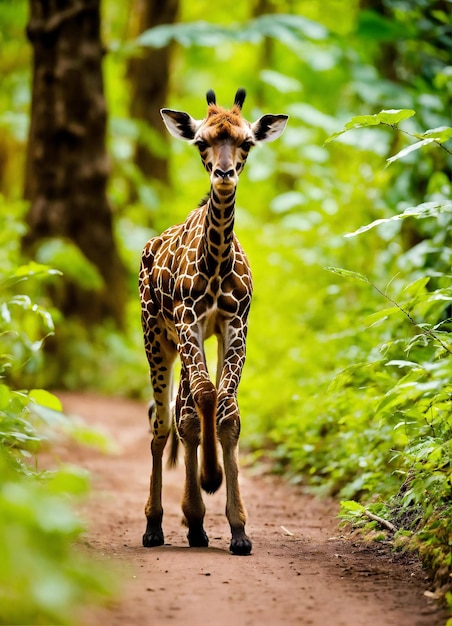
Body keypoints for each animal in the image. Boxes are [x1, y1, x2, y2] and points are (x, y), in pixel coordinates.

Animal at [139, 89, 288, 556]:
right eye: (201, 142)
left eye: (247, 143)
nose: (224, 174)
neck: (217, 264)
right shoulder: (188, 320)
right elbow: (205, 398)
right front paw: (208, 481)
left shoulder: (234, 323)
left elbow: (226, 410)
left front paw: (238, 528)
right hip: (156, 336)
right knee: (163, 421)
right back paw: (155, 525)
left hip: (193, 339)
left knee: (184, 412)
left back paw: (196, 527)